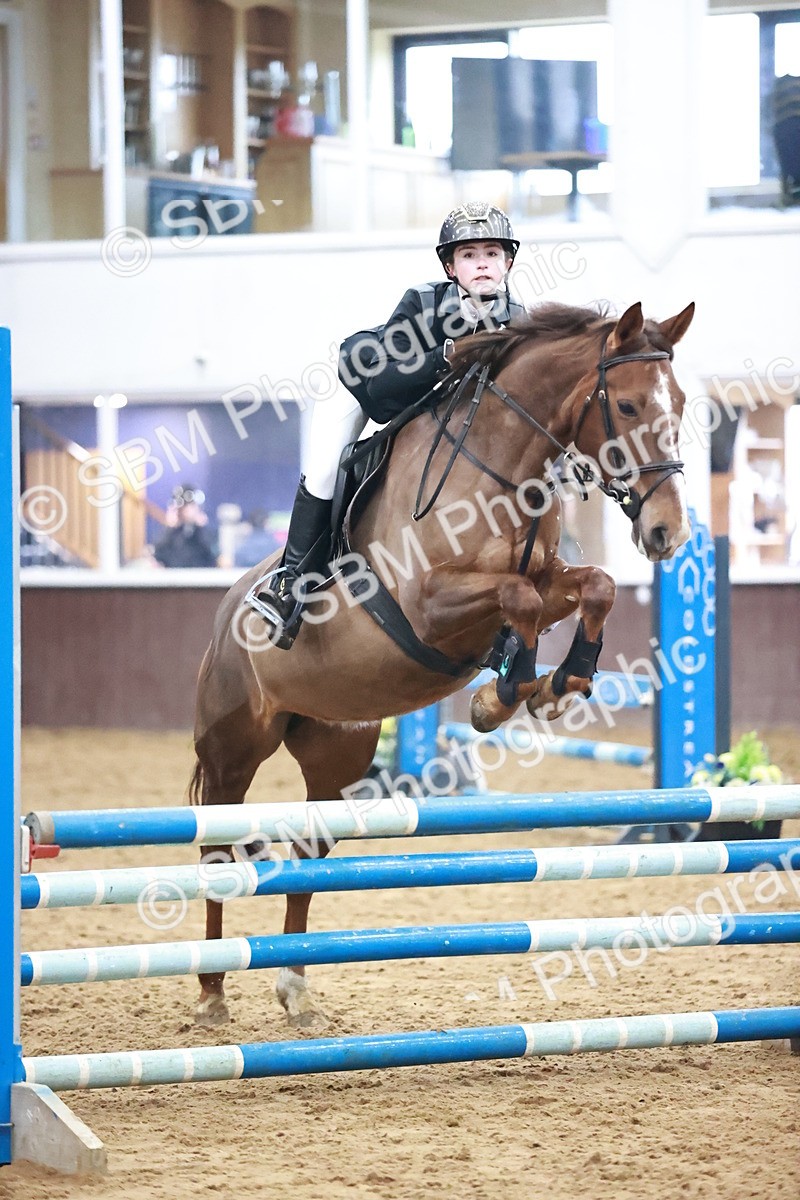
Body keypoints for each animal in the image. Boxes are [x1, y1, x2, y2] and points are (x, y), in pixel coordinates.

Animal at [189, 298, 695, 1029]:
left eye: (678, 402)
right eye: (626, 406)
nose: (667, 532)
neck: (502, 468)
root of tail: (228, 609)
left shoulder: (546, 579)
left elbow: (590, 586)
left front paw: (553, 684)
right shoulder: (429, 603)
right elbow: (518, 600)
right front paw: (504, 693)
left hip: (334, 750)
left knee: (309, 853)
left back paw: (295, 990)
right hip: (234, 748)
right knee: (216, 850)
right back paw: (210, 993)